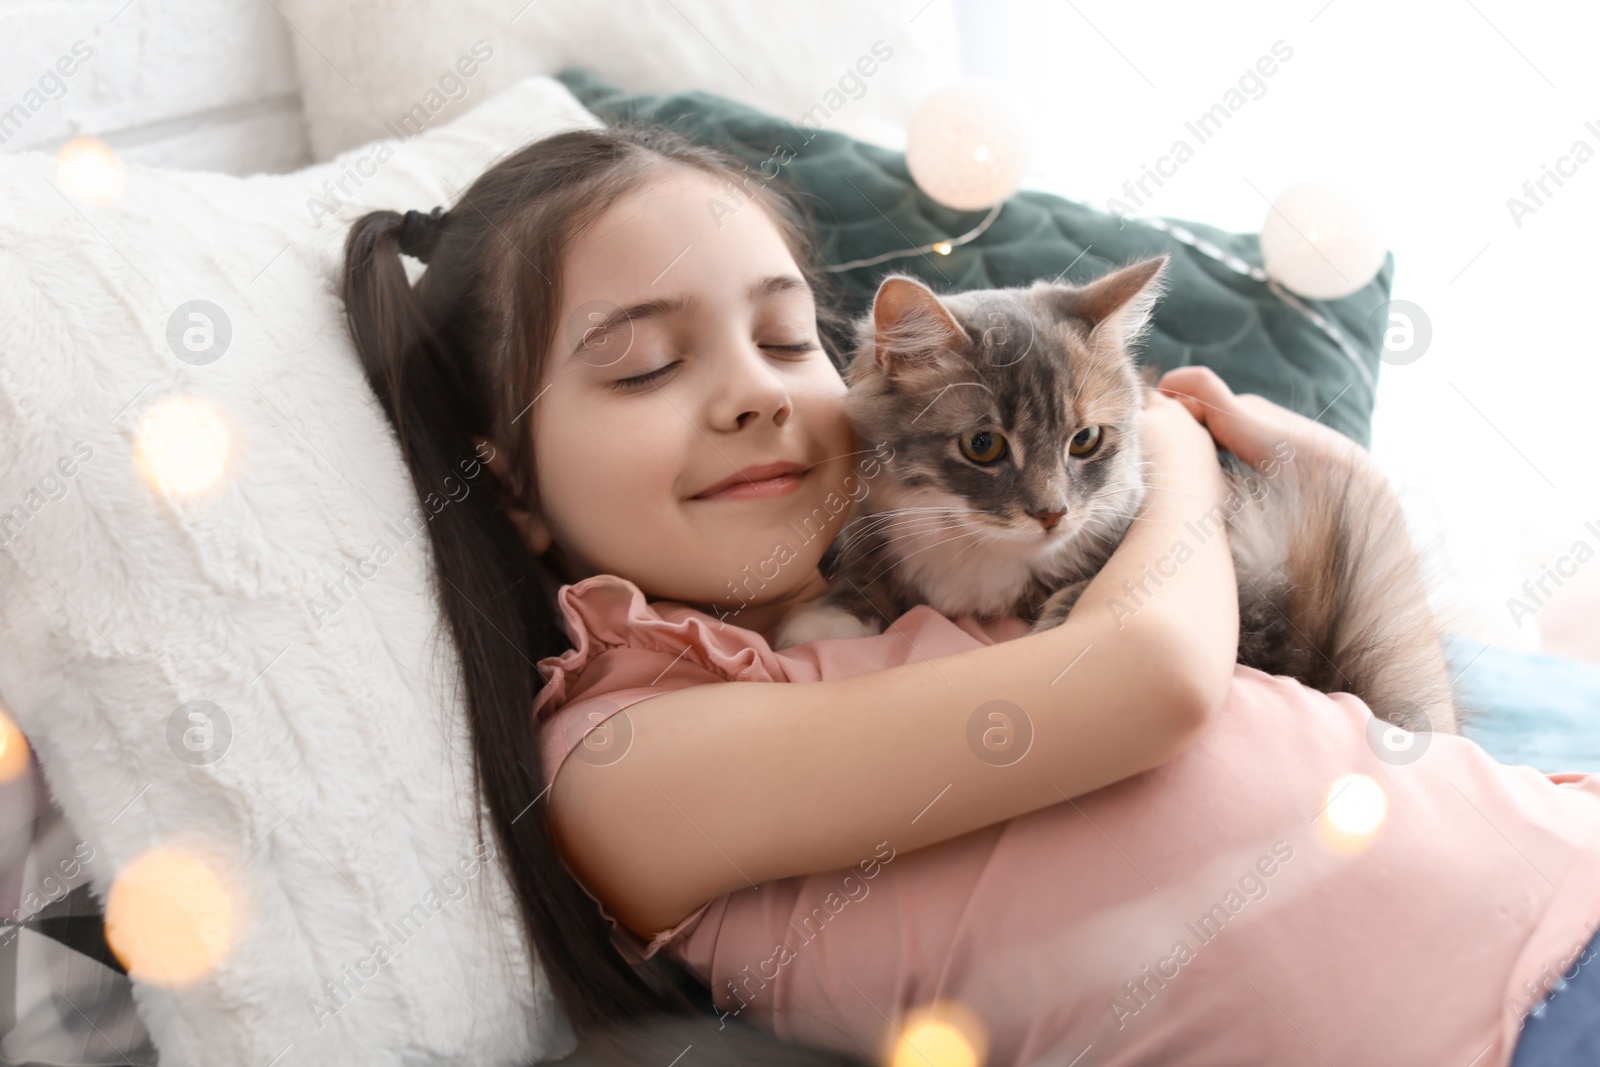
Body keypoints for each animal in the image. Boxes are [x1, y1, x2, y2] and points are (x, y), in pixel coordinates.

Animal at [774, 254, 1465, 735]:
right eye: (983, 446)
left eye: (1084, 440)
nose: (1052, 514)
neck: (984, 557)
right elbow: (869, 570)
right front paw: (830, 613)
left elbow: (1081, 590)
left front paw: (1055, 619)